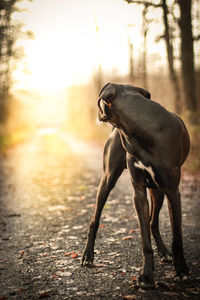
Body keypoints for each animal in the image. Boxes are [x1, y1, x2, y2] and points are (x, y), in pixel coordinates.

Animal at [81, 83, 189, 288]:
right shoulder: (138, 191)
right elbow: (144, 239)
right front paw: (146, 275)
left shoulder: (172, 190)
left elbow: (177, 238)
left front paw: (181, 270)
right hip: (108, 179)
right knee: (94, 220)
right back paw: (87, 256)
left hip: (158, 190)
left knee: (153, 222)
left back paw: (164, 252)